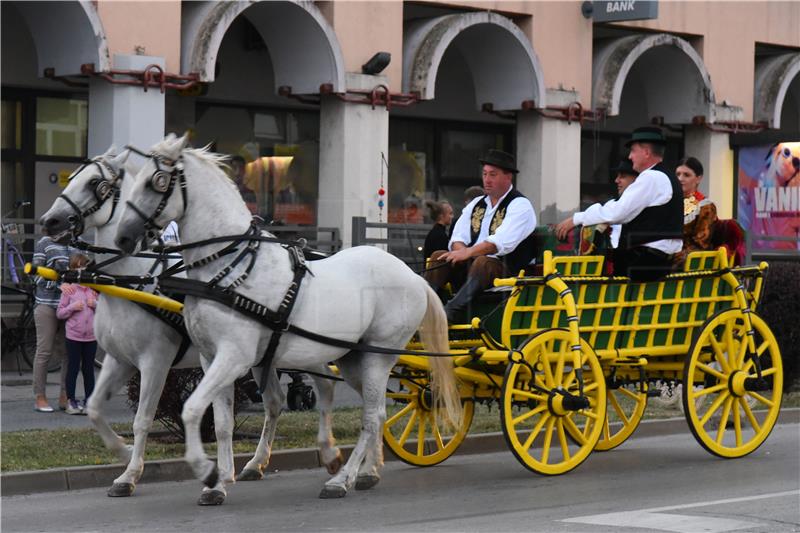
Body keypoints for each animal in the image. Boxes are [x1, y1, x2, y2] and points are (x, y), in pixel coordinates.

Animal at [39, 145, 342, 502]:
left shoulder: (155, 361)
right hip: (265, 356)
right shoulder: (118, 359)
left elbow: (143, 419)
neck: (132, 279)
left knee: (321, 386)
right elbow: (95, 408)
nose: (49, 221)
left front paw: (130, 475)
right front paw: (124, 452)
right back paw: (257, 463)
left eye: (95, 183)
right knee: (275, 402)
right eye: (72, 176)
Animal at [114, 134, 462, 498]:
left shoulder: (233, 357)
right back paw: (368, 471)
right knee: (376, 412)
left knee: (370, 416)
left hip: (379, 356)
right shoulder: (212, 359)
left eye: (156, 182)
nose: (123, 238)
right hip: (354, 358)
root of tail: (414, 277)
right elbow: (221, 423)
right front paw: (220, 482)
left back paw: (342, 479)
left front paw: (204, 470)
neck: (228, 267)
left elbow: (192, 409)